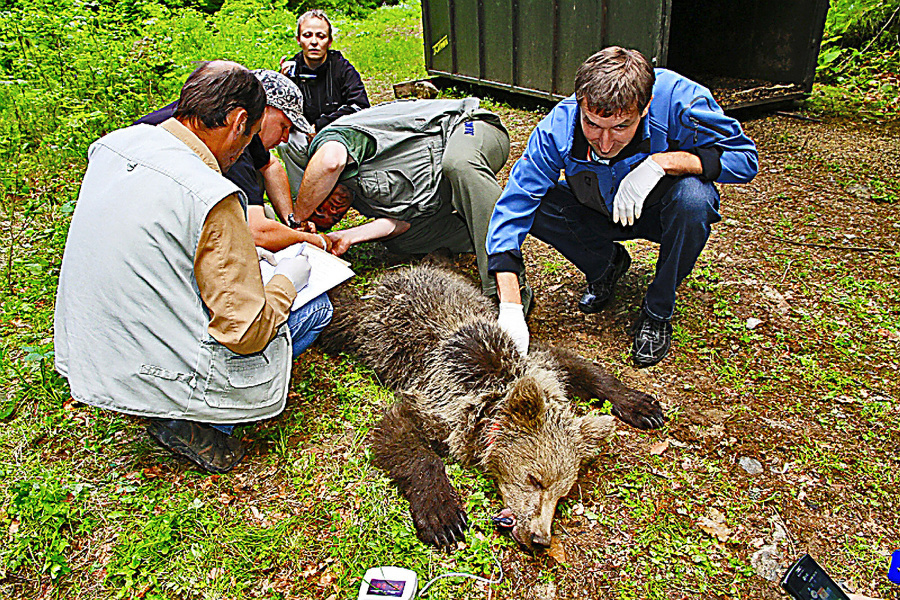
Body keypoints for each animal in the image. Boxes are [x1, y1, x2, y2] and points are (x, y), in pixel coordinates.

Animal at [320, 264, 664, 552]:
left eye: (562, 493)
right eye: (534, 479)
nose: (540, 539)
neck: (494, 394)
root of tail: (400, 272)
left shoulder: (537, 359)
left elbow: (584, 369)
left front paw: (641, 404)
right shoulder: (439, 399)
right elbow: (402, 437)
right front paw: (442, 515)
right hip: (370, 328)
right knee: (341, 319)